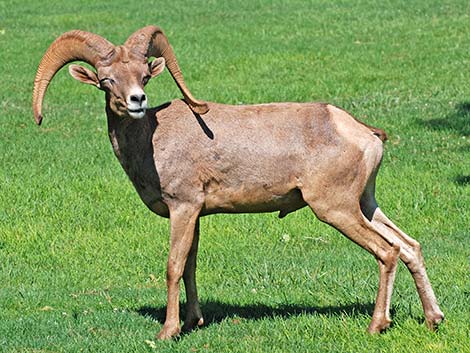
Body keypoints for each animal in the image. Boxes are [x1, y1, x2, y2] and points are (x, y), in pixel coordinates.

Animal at [33, 24, 444, 338]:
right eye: (106, 81)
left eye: (145, 75)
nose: (137, 100)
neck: (152, 139)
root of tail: (364, 133)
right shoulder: (195, 216)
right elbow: (191, 265)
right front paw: (194, 322)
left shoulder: (183, 209)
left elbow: (173, 266)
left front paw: (169, 331)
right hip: (366, 204)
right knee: (409, 246)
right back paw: (433, 319)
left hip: (336, 209)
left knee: (387, 251)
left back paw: (377, 326)